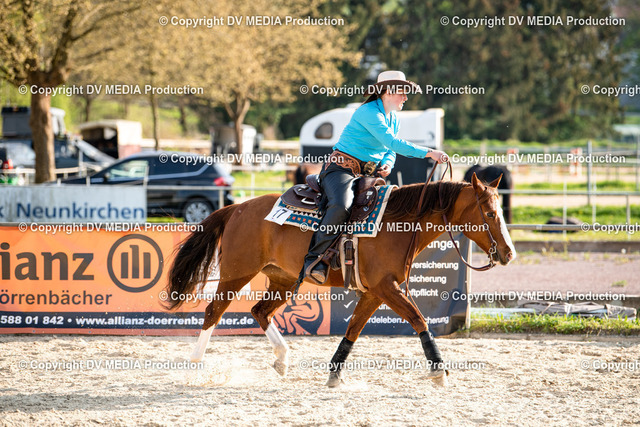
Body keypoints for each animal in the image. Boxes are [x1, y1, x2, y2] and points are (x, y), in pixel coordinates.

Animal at [165, 173, 516, 387]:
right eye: (489, 213)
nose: (509, 253)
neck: (398, 224)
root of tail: (237, 208)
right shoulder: (386, 288)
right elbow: (419, 320)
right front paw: (439, 371)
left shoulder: (375, 292)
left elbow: (353, 330)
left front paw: (334, 374)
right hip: (236, 274)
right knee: (213, 312)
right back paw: (195, 364)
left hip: (281, 279)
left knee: (259, 312)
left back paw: (282, 360)